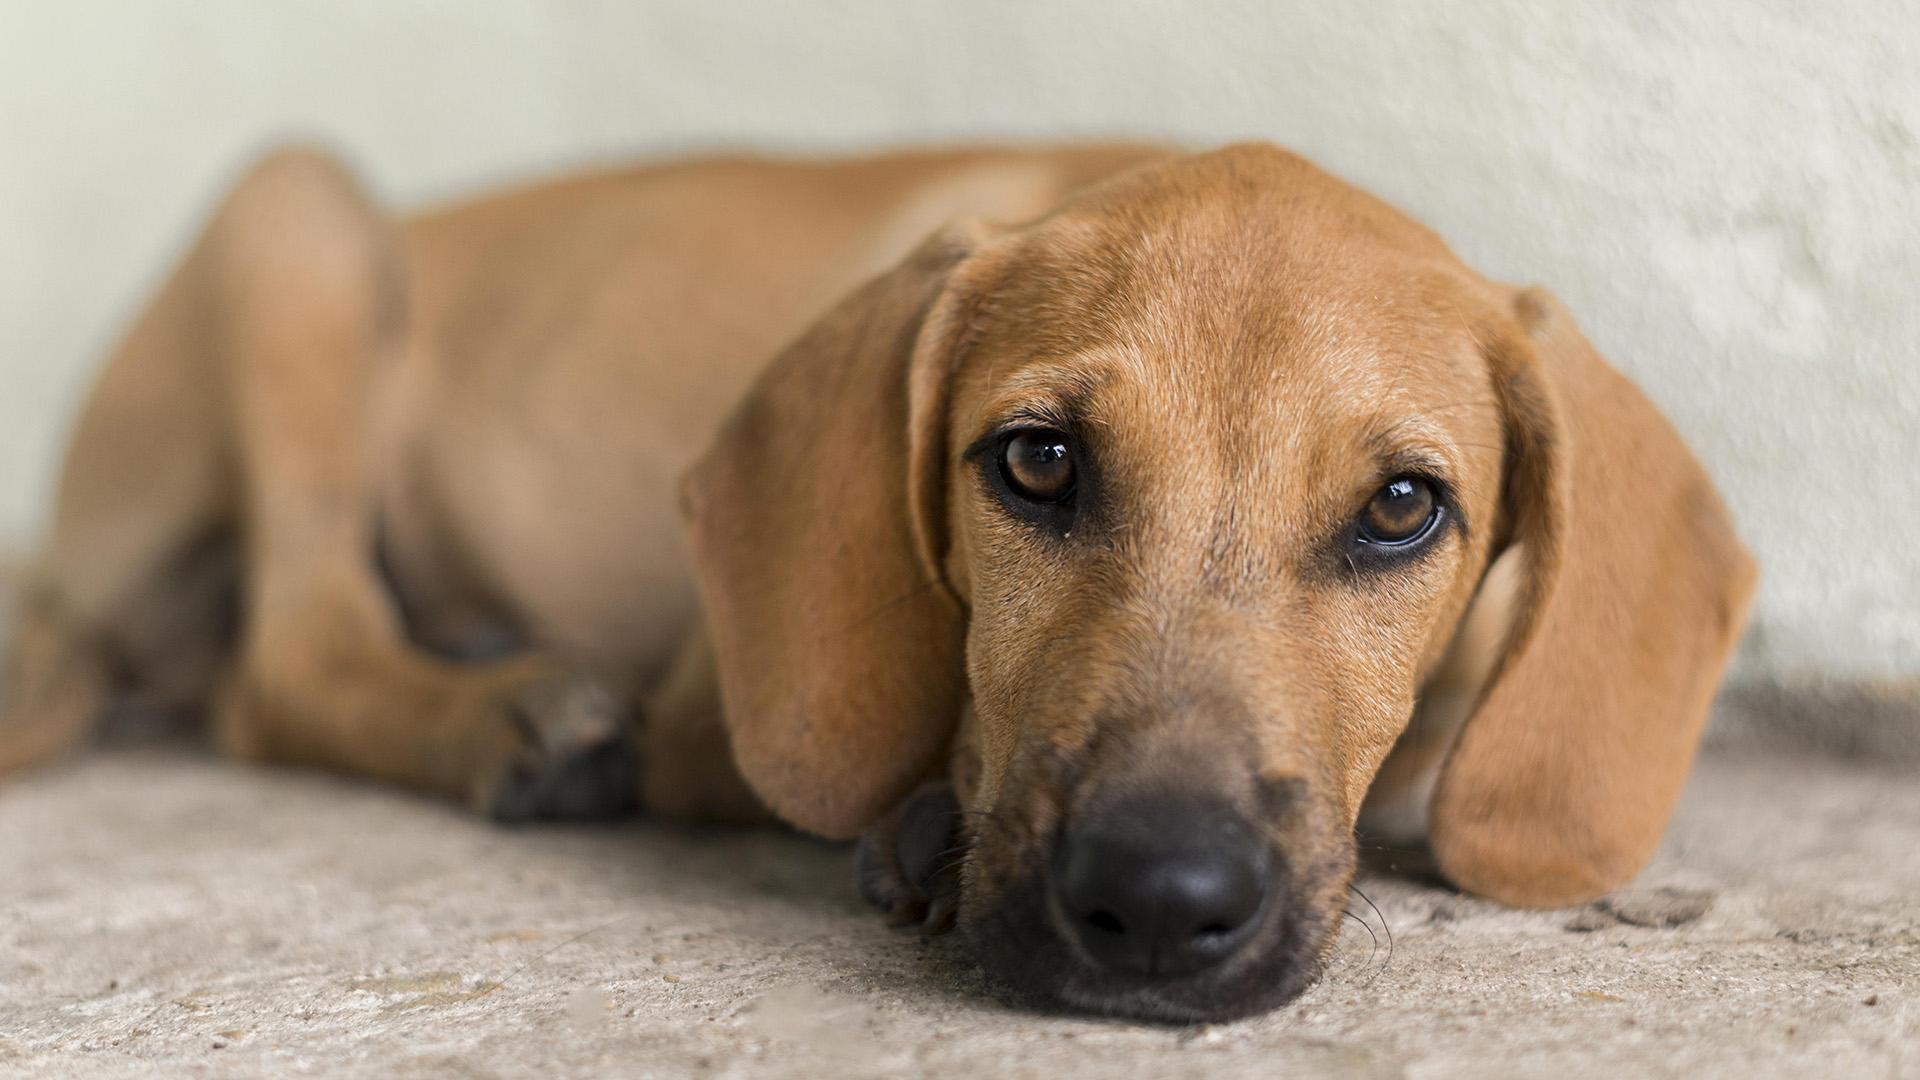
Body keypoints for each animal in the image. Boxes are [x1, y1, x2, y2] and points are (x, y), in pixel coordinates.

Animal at [0, 143, 1758, 1014]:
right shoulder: (710, 700)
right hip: (300, 221)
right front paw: (922, 819)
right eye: (1035, 463)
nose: (1160, 906)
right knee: (287, 653)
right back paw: (511, 715)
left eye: (1402, 507)